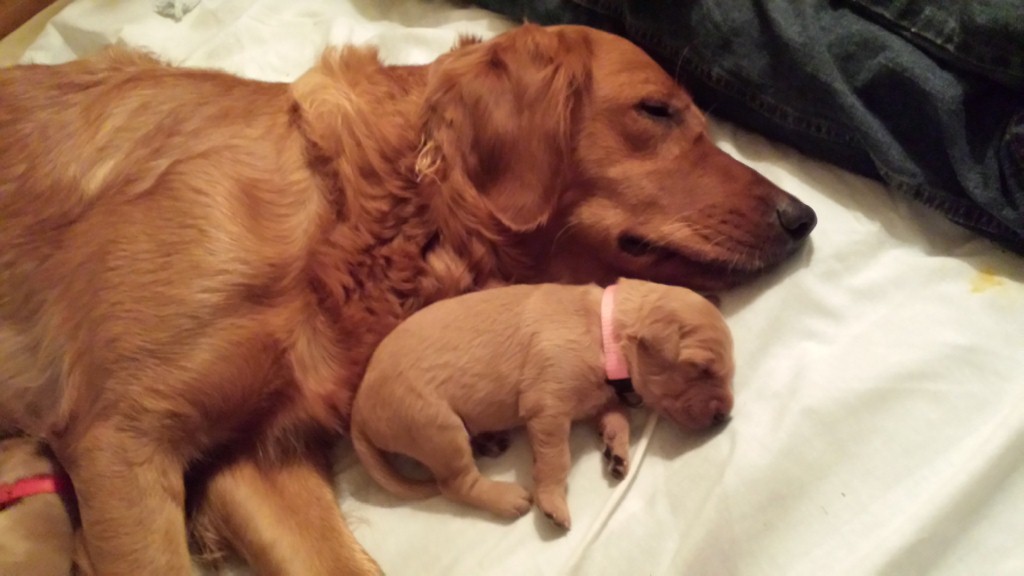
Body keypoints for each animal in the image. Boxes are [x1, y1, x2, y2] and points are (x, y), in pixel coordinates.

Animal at [348, 278, 733, 528]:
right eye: (702, 369)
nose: (726, 418)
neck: (603, 331)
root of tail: (358, 412)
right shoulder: (548, 408)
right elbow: (555, 461)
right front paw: (553, 503)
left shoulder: (599, 401)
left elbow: (618, 420)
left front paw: (618, 451)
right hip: (436, 428)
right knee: (455, 483)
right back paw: (506, 498)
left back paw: (489, 441)